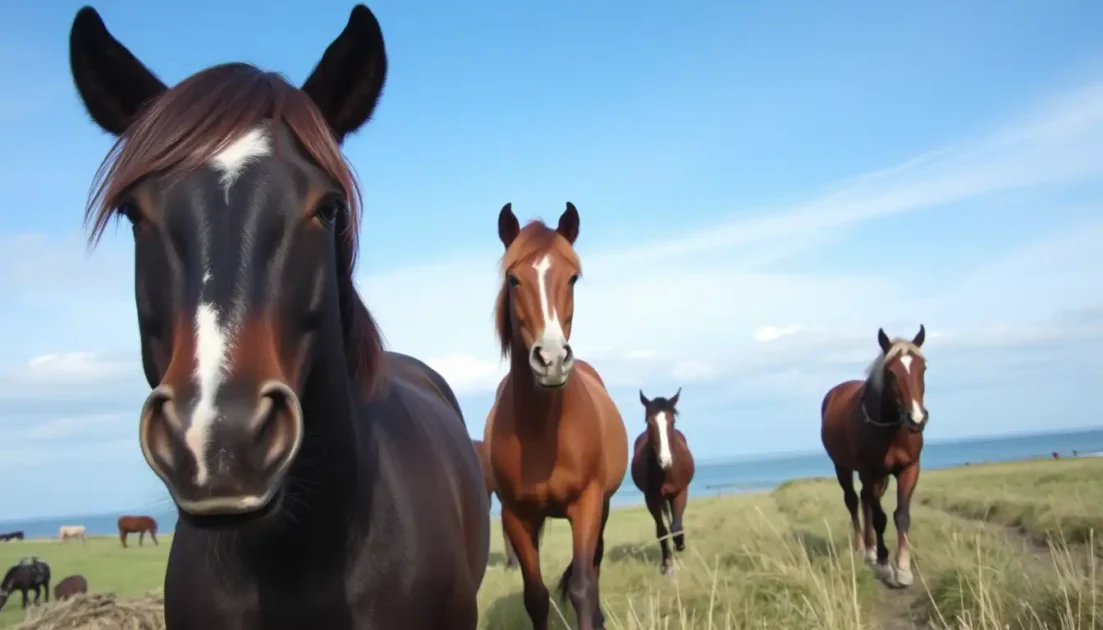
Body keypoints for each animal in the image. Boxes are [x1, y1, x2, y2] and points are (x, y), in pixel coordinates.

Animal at [485, 202, 629, 630]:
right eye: (513, 278)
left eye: (573, 278)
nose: (551, 360)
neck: (543, 432)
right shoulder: (516, 516)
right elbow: (535, 596)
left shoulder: (587, 504)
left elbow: (582, 587)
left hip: (603, 507)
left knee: (593, 567)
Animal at [631, 388, 696, 576]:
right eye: (650, 422)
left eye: (672, 421)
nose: (665, 460)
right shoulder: (651, 498)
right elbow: (662, 530)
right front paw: (666, 564)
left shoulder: (680, 492)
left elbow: (676, 526)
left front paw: (680, 544)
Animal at [821, 325, 928, 588]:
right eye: (890, 372)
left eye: (923, 368)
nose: (916, 419)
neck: (891, 428)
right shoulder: (870, 471)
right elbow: (880, 517)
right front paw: (884, 565)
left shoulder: (908, 469)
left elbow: (902, 515)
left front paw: (903, 568)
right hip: (843, 467)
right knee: (853, 500)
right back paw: (863, 548)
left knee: (866, 499)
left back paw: (870, 549)